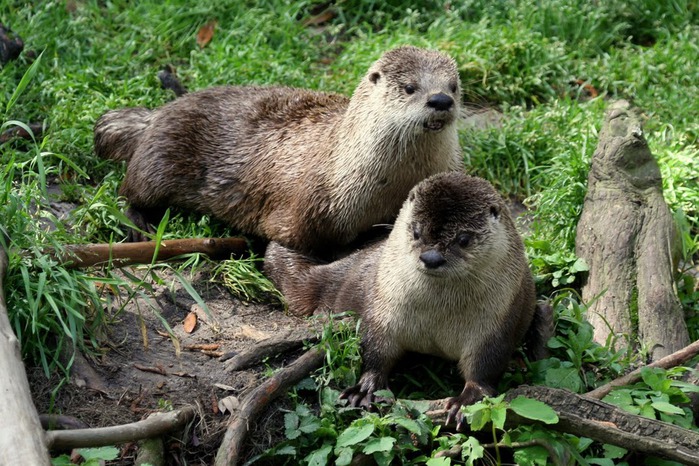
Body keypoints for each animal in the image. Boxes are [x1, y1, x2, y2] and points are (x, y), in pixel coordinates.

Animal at [94, 46, 464, 255]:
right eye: (410, 88)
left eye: (454, 86)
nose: (440, 100)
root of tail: (157, 114)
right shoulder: (308, 211)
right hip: (160, 156)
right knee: (130, 190)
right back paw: (139, 224)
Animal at [266, 172, 548, 430]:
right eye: (416, 232)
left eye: (464, 239)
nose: (432, 257)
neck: (438, 317)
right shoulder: (383, 310)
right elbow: (376, 349)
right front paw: (367, 388)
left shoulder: (496, 325)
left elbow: (486, 367)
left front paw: (466, 402)